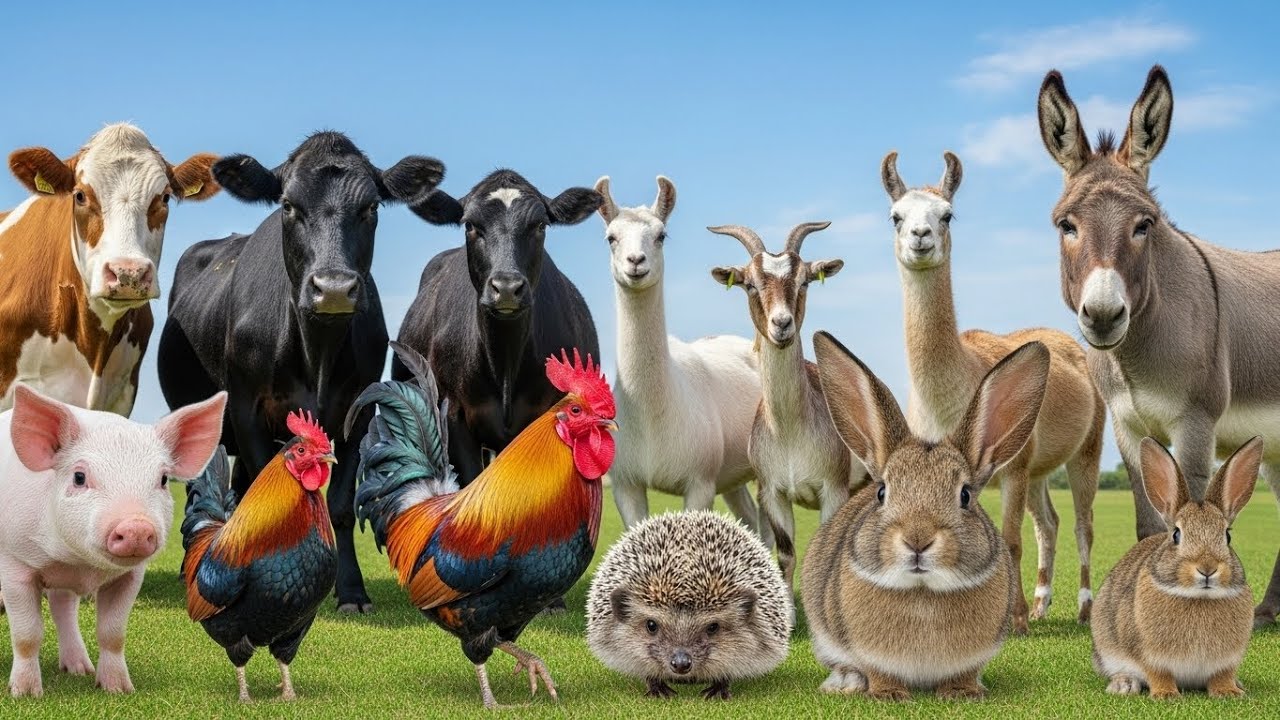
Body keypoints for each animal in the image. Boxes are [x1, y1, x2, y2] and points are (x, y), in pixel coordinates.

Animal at [156, 131, 445, 613]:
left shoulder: (356, 415)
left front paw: (350, 590)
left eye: (370, 208)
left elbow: (341, 506)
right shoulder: (247, 409)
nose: (334, 288)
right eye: (289, 205)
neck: (317, 353)